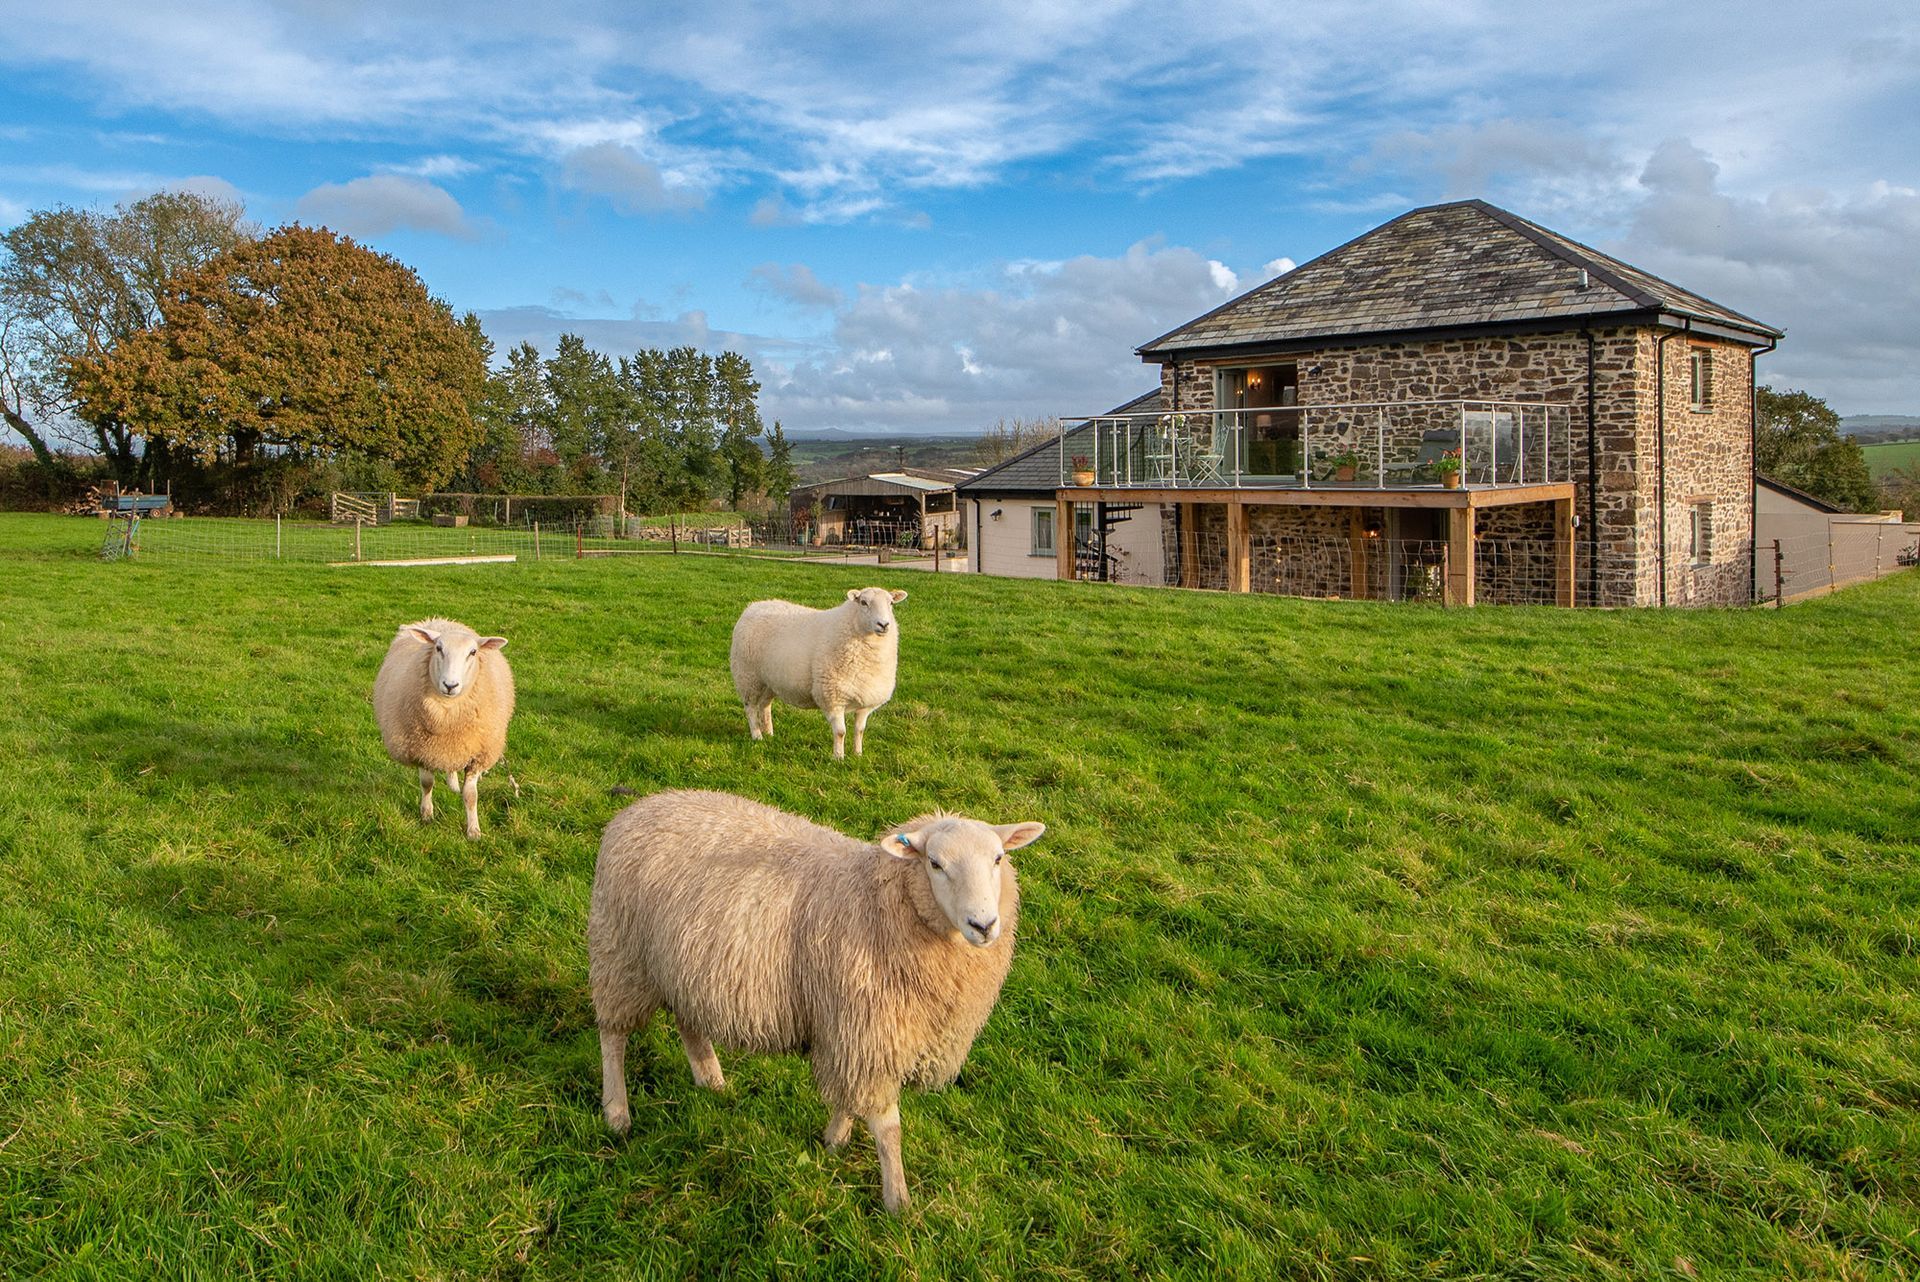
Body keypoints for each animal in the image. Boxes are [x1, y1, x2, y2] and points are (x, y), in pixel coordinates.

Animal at [368, 621, 514, 840]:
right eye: (438, 648)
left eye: (473, 652)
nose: (450, 685)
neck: (448, 716)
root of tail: (438, 620)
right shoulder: (422, 749)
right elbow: (427, 783)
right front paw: (426, 814)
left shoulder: (476, 754)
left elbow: (471, 795)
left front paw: (473, 831)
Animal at [587, 786, 1052, 1220]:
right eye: (935, 863)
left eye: (998, 859)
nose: (984, 925)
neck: (877, 901)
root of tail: (641, 807)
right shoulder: (868, 1032)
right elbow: (888, 1129)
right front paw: (897, 1201)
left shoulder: (852, 1029)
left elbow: (848, 1099)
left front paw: (834, 1142)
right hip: (620, 955)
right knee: (612, 1037)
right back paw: (617, 1113)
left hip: (682, 964)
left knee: (688, 1022)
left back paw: (711, 1080)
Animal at [725, 587, 906, 756]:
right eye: (863, 602)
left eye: (891, 603)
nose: (883, 625)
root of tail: (753, 606)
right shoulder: (832, 696)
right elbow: (840, 732)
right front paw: (839, 758)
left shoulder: (866, 700)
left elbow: (859, 731)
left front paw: (858, 754)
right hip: (748, 676)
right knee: (750, 707)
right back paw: (757, 735)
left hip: (769, 680)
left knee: (764, 705)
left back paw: (769, 733)